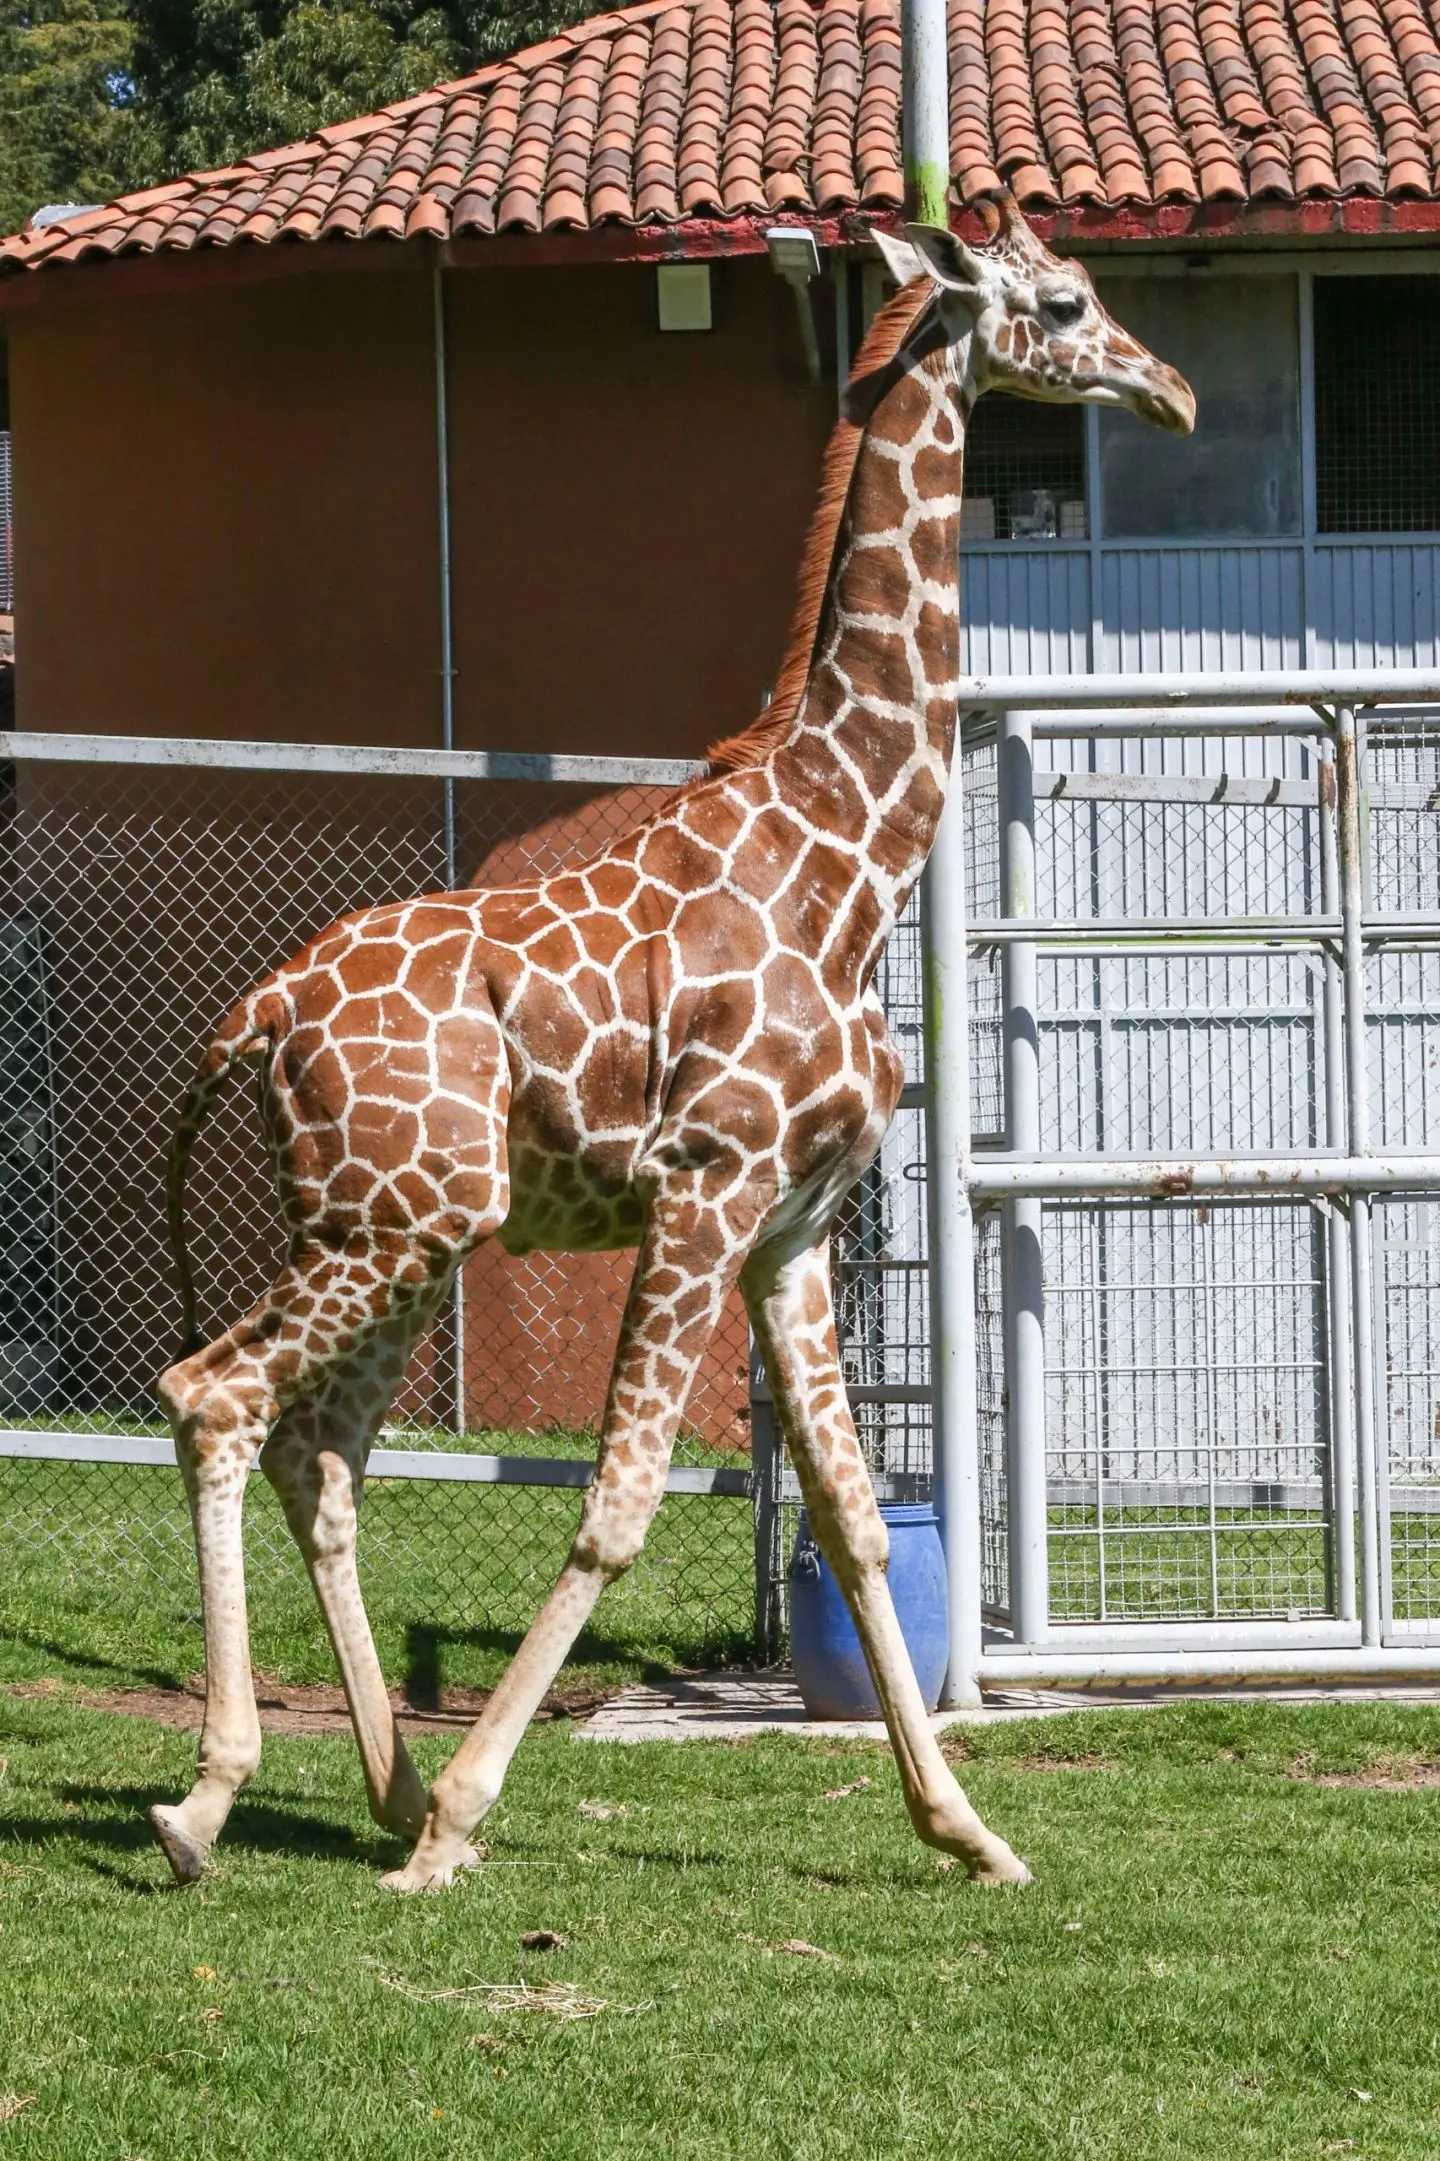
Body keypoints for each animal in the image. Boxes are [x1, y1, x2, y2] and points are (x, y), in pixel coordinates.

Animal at [149, 191, 1193, 1894]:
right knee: (216, 1400)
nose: (1167, 390)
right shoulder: (705, 1189)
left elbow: (852, 1515)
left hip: (405, 1230)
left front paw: (968, 1830)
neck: (847, 856)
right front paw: (464, 1816)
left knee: (324, 1452)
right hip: (382, 1226)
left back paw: (373, 1785)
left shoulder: (791, 1224)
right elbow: (619, 1504)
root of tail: (263, 1012)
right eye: (1061, 301)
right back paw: (215, 1803)